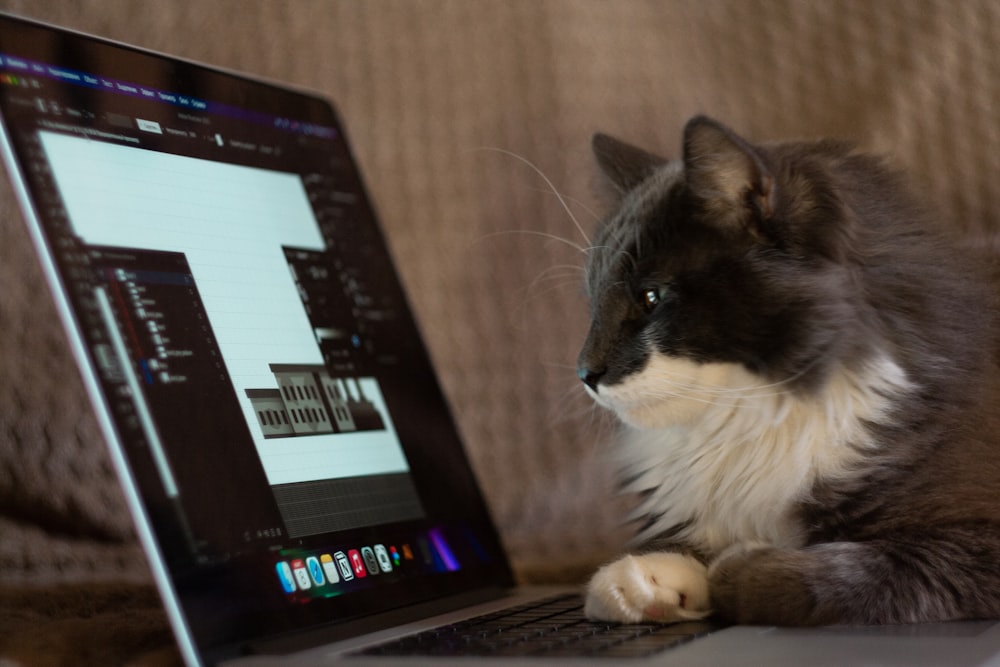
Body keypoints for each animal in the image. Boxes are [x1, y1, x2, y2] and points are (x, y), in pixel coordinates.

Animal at [576, 113, 1000, 628]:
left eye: (651, 298)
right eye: (594, 302)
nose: (585, 373)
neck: (757, 409)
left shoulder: (977, 536)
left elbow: (857, 570)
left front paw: (737, 569)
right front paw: (640, 584)